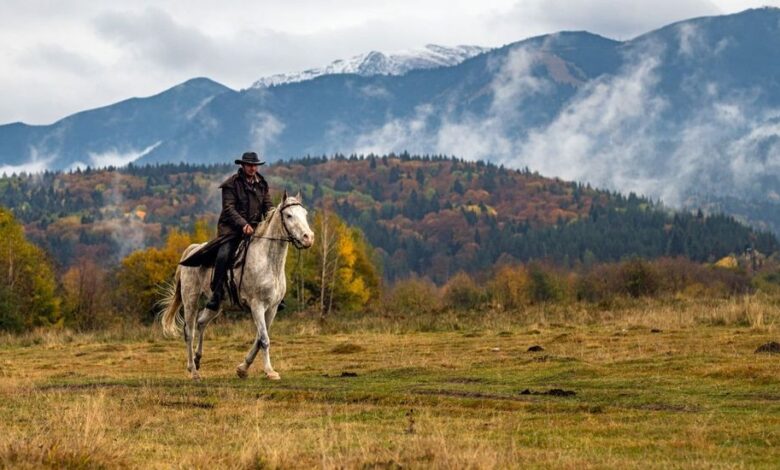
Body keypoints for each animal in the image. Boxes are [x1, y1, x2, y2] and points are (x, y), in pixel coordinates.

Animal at [160, 193, 312, 380]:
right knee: (189, 331)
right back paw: (193, 371)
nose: (308, 238)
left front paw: (243, 368)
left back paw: (197, 359)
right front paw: (269, 371)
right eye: (289, 215)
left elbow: (259, 338)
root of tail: (192, 250)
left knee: (202, 322)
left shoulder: (272, 308)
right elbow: (264, 339)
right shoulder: (257, 306)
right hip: (190, 300)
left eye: (304, 214)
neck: (268, 261)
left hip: (216, 304)